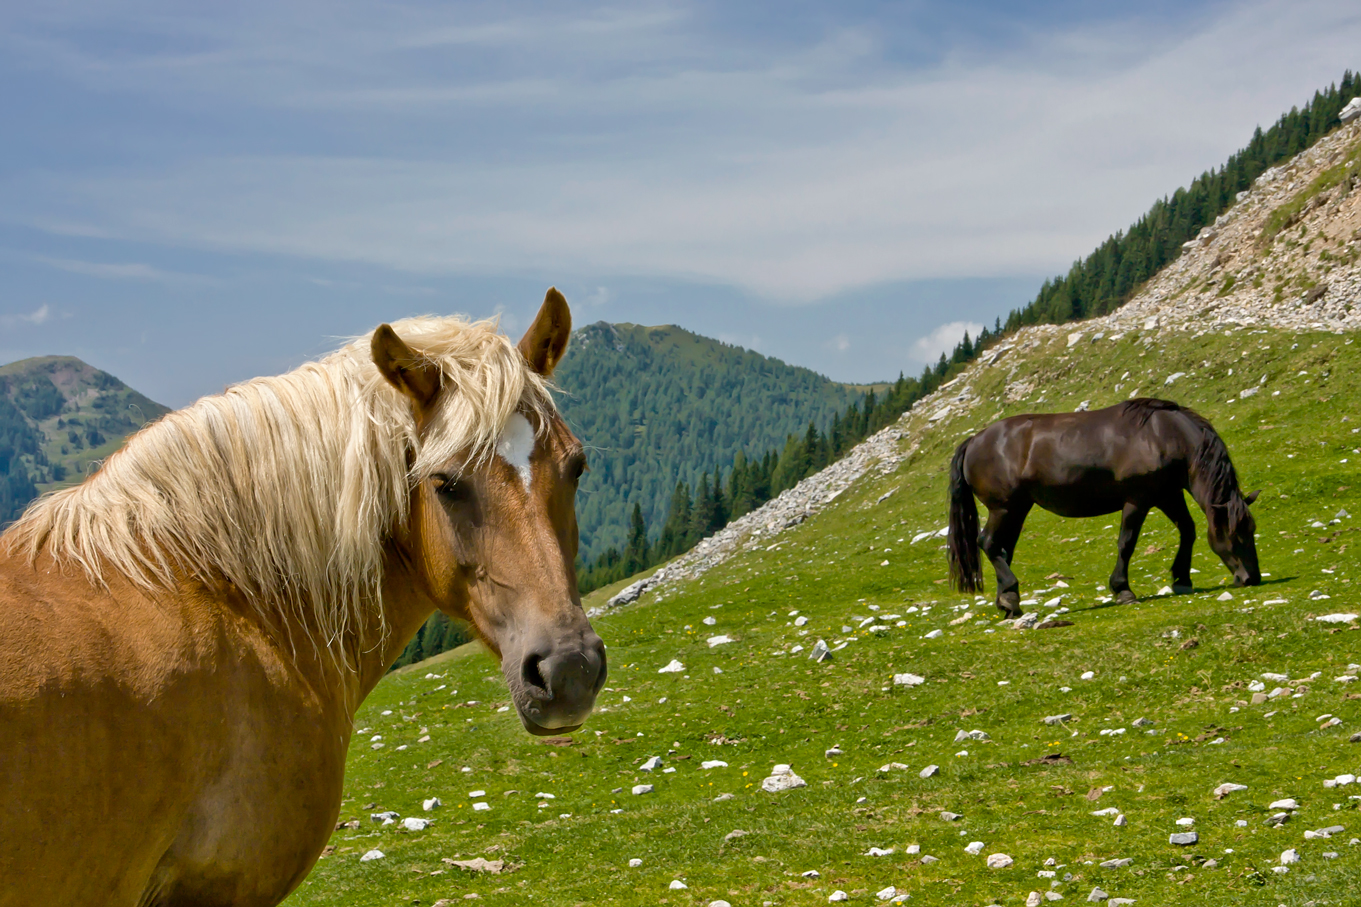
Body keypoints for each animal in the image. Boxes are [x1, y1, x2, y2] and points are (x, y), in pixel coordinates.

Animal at [947, 397, 1252, 615]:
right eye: (1235, 533)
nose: (1251, 578)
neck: (1163, 435)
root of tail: (973, 440)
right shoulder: (1137, 500)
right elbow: (1126, 543)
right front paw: (1123, 590)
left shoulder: (1168, 495)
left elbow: (1188, 530)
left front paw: (1182, 580)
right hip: (1003, 508)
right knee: (988, 543)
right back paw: (1010, 596)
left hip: (1017, 509)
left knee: (1002, 549)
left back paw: (1008, 601)